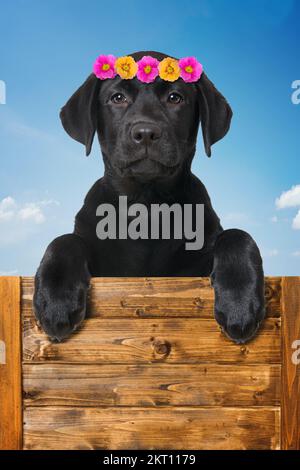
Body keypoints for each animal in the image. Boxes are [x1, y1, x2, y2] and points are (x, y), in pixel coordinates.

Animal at [34, 51, 264, 344]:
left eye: (175, 98)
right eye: (117, 97)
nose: (145, 133)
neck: (148, 208)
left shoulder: (193, 267)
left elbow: (237, 235)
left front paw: (239, 305)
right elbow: (64, 240)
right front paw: (56, 302)